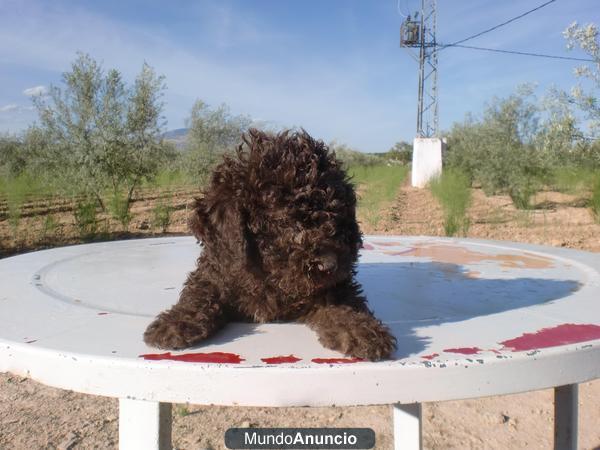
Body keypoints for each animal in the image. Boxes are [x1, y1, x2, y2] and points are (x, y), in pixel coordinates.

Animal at [143, 128, 396, 360]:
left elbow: (341, 300)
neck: (268, 277)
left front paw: (361, 330)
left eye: (337, 217)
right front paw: (176, 322)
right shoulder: (215, 271)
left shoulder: (333, 284)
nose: (330, 264)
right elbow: (199, 293)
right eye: (284, 222)